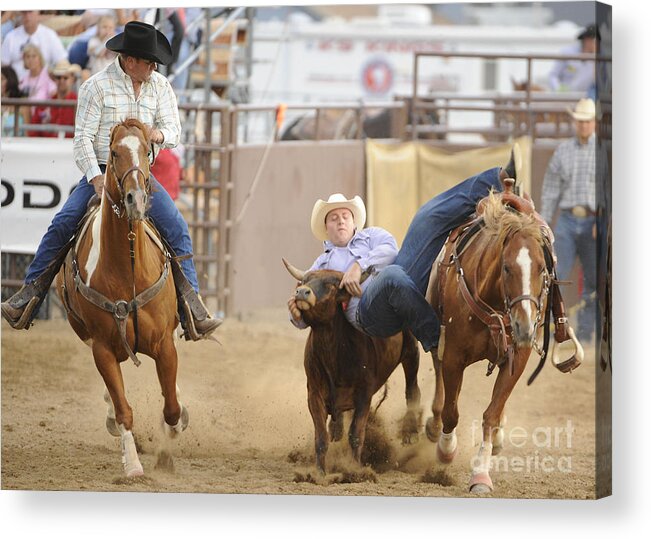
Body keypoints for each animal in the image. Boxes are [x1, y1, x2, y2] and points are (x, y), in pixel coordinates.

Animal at [56, 118, 188, 476]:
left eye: (147, 150)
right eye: (114, 152)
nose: (135, 199)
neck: (127, 269)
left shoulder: (164, 344)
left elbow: (171, 406)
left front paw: (170, 442)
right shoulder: (102, 348)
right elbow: (123, 408)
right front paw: (132, 464)